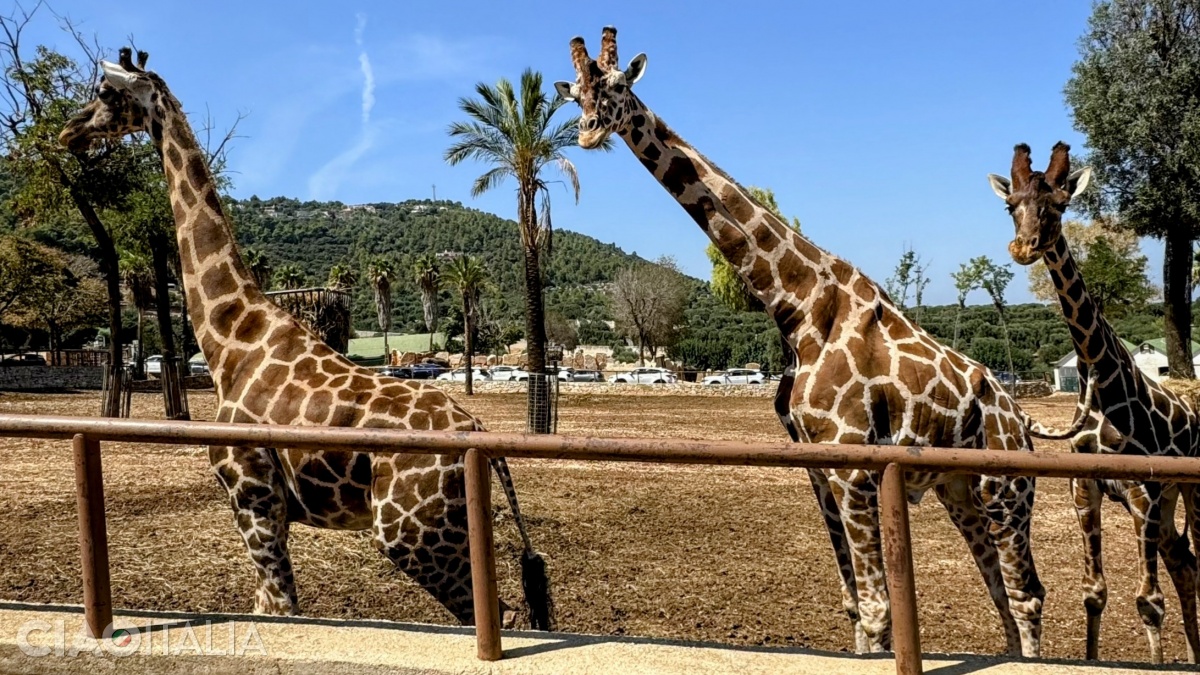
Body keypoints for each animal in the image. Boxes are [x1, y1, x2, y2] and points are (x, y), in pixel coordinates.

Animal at [58, 49, 554, 629]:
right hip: (443, 529)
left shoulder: (252, 495)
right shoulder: (269, 508)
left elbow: (279, 606)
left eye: (104, 93)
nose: (70, 131)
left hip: (412, 533)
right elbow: (271, 606)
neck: (230, 340)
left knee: (495, 614)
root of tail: (478, 432)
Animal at [556, 27, 1094, 658]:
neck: (799, 308)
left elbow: (880, 608)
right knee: (1001, 593)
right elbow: (854, 605)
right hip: (960, 490)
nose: (589, 131)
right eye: (576, 96)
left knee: (1027, 594)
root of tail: (1022, 417)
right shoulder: (818, 466)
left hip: (1005, 489)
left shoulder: (854, 465)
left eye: (618, 86)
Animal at [984, 139, 1200, 658]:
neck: (1107, 392)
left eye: (1059, 205)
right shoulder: (1086, 486)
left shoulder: (1144, 493)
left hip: (1187, 492)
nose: (1023, 248)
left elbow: (1149, 602)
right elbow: (1094, 593)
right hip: (1167, 506)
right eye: (1010, 205)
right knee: (1186, 565)